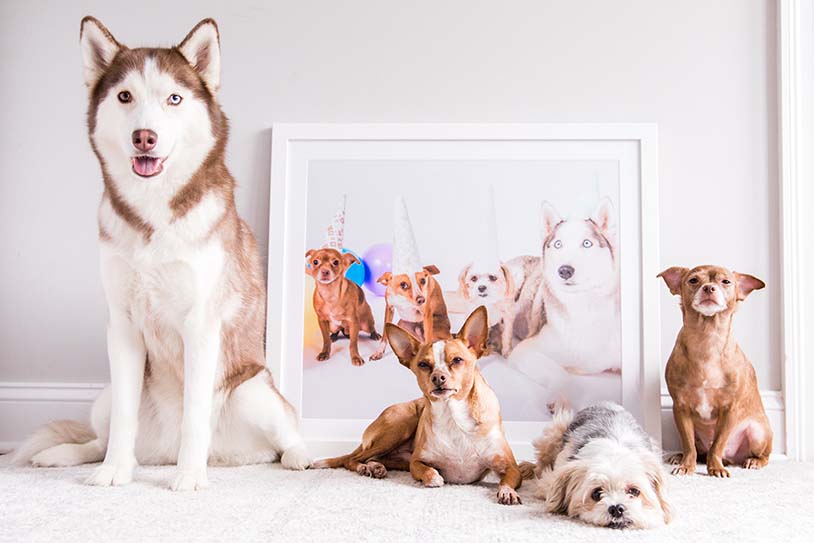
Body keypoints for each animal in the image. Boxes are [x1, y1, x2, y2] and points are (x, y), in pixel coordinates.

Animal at [12, 19, 312, 490]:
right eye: (125, 96)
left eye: (174, 98)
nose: (144, 137)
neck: (153, 216)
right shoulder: (121, 327)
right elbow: (123, 421)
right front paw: (114, 472)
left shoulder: (201, 325)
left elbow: (194, 415)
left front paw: (189, 477)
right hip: (104, 395)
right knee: (102, 435)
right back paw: (68, 454)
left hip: (253, 392)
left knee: (284, 436)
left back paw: (297, 456)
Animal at [312, 308, 524, 508]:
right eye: (423, 364)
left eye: (457, 360)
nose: (438, 377)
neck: (453, 416)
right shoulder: (416, 462)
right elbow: (428, 472)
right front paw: (434, 477)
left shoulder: (511, 467)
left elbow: (508, 479)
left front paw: (507, 492)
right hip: (400, 425)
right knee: (353, 458)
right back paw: (366, 467)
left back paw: (375, 466)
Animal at [660, 266, 776, 478]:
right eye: (693, 280)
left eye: (726, 282)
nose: (709, 287)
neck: (707, 339)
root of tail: (733, 457)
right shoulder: (680, 409)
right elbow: (688, 444)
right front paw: (687, 466)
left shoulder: (729, 410)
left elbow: (718, 444)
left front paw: (715, 468)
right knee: (698, 450)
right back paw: (681, 456)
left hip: (758, 433)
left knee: (762, 455)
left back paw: (752, 462)